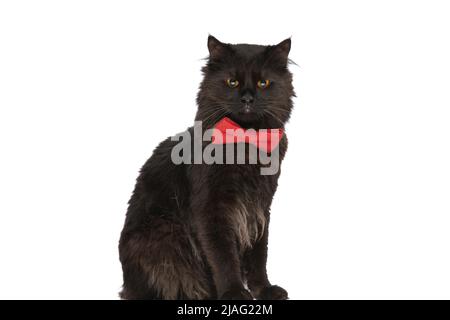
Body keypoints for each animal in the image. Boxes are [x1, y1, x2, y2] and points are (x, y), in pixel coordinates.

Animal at [119, 35, 296, 300]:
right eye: (232, 82)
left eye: (263, 83)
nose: (247, 99)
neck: (244, 142)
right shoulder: (210, 209)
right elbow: (223, 257)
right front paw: (233, 293)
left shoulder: (261, 207)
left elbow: (258, 255)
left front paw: (264, 289)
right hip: (163, 234)